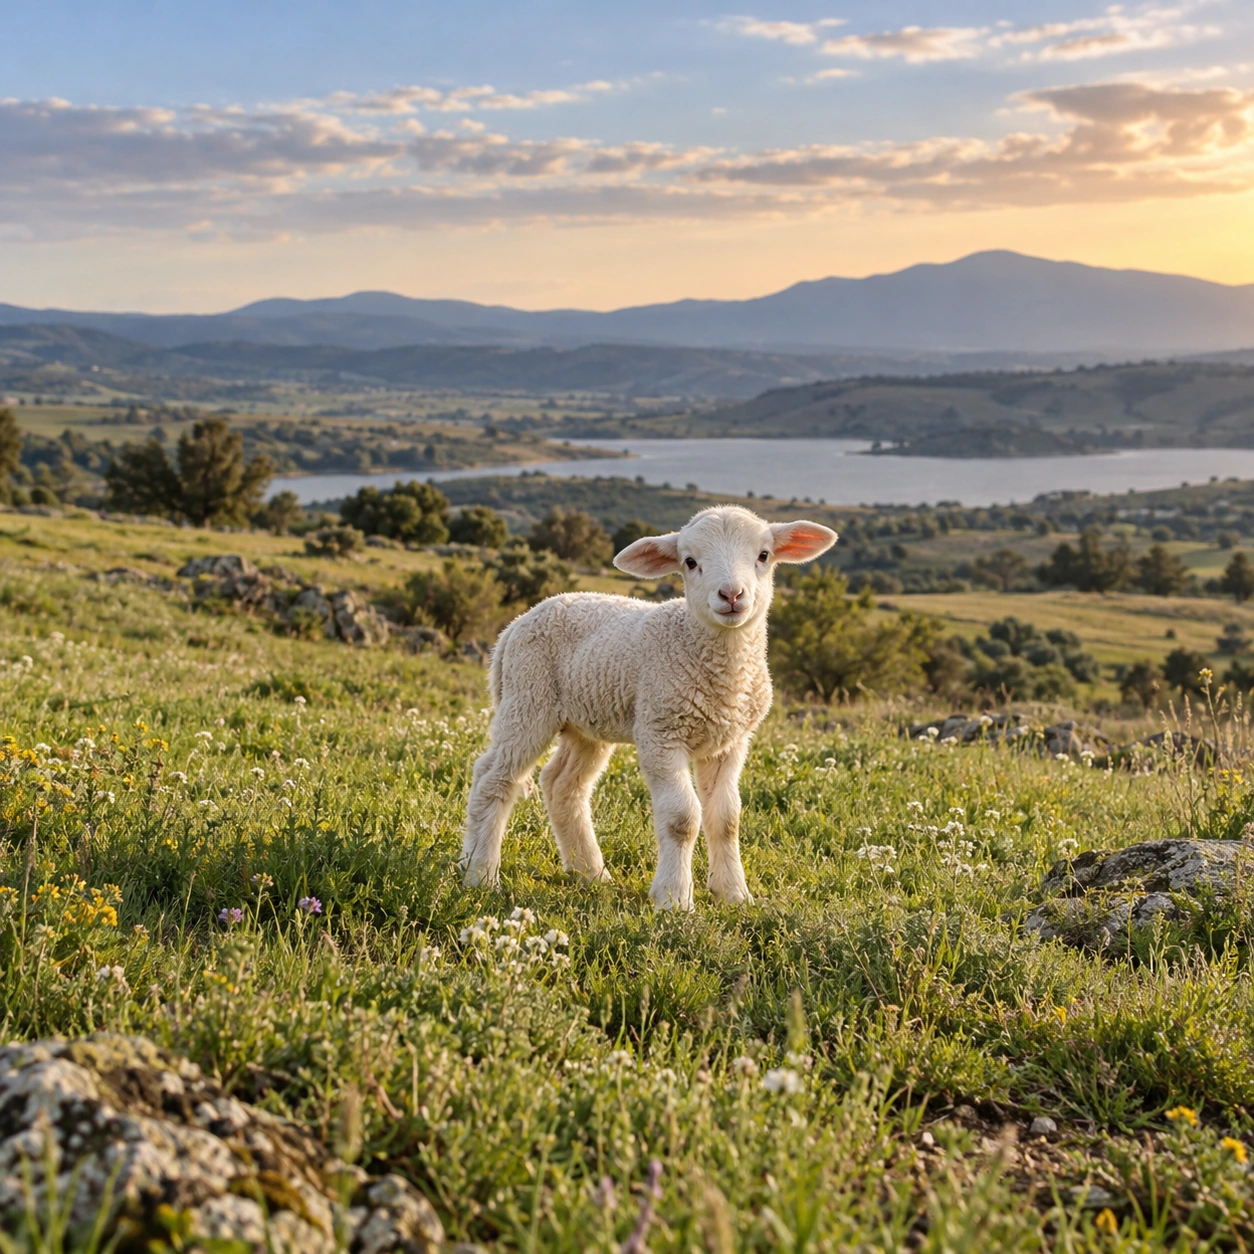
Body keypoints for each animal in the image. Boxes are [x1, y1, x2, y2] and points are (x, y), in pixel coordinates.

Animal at [461, 505, 837, 909]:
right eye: (689, 562)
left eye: (764, 555)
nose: (732, 594)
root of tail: (516, 625)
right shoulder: (660, 731)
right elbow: (682, 818)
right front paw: (674, 899)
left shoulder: (730, 743)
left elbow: (726, 818)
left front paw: (734, 894)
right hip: (528, 699)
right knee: (493, 777)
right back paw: (479, 872)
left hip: (584, 720)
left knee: (562, 784)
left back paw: (590, 873)